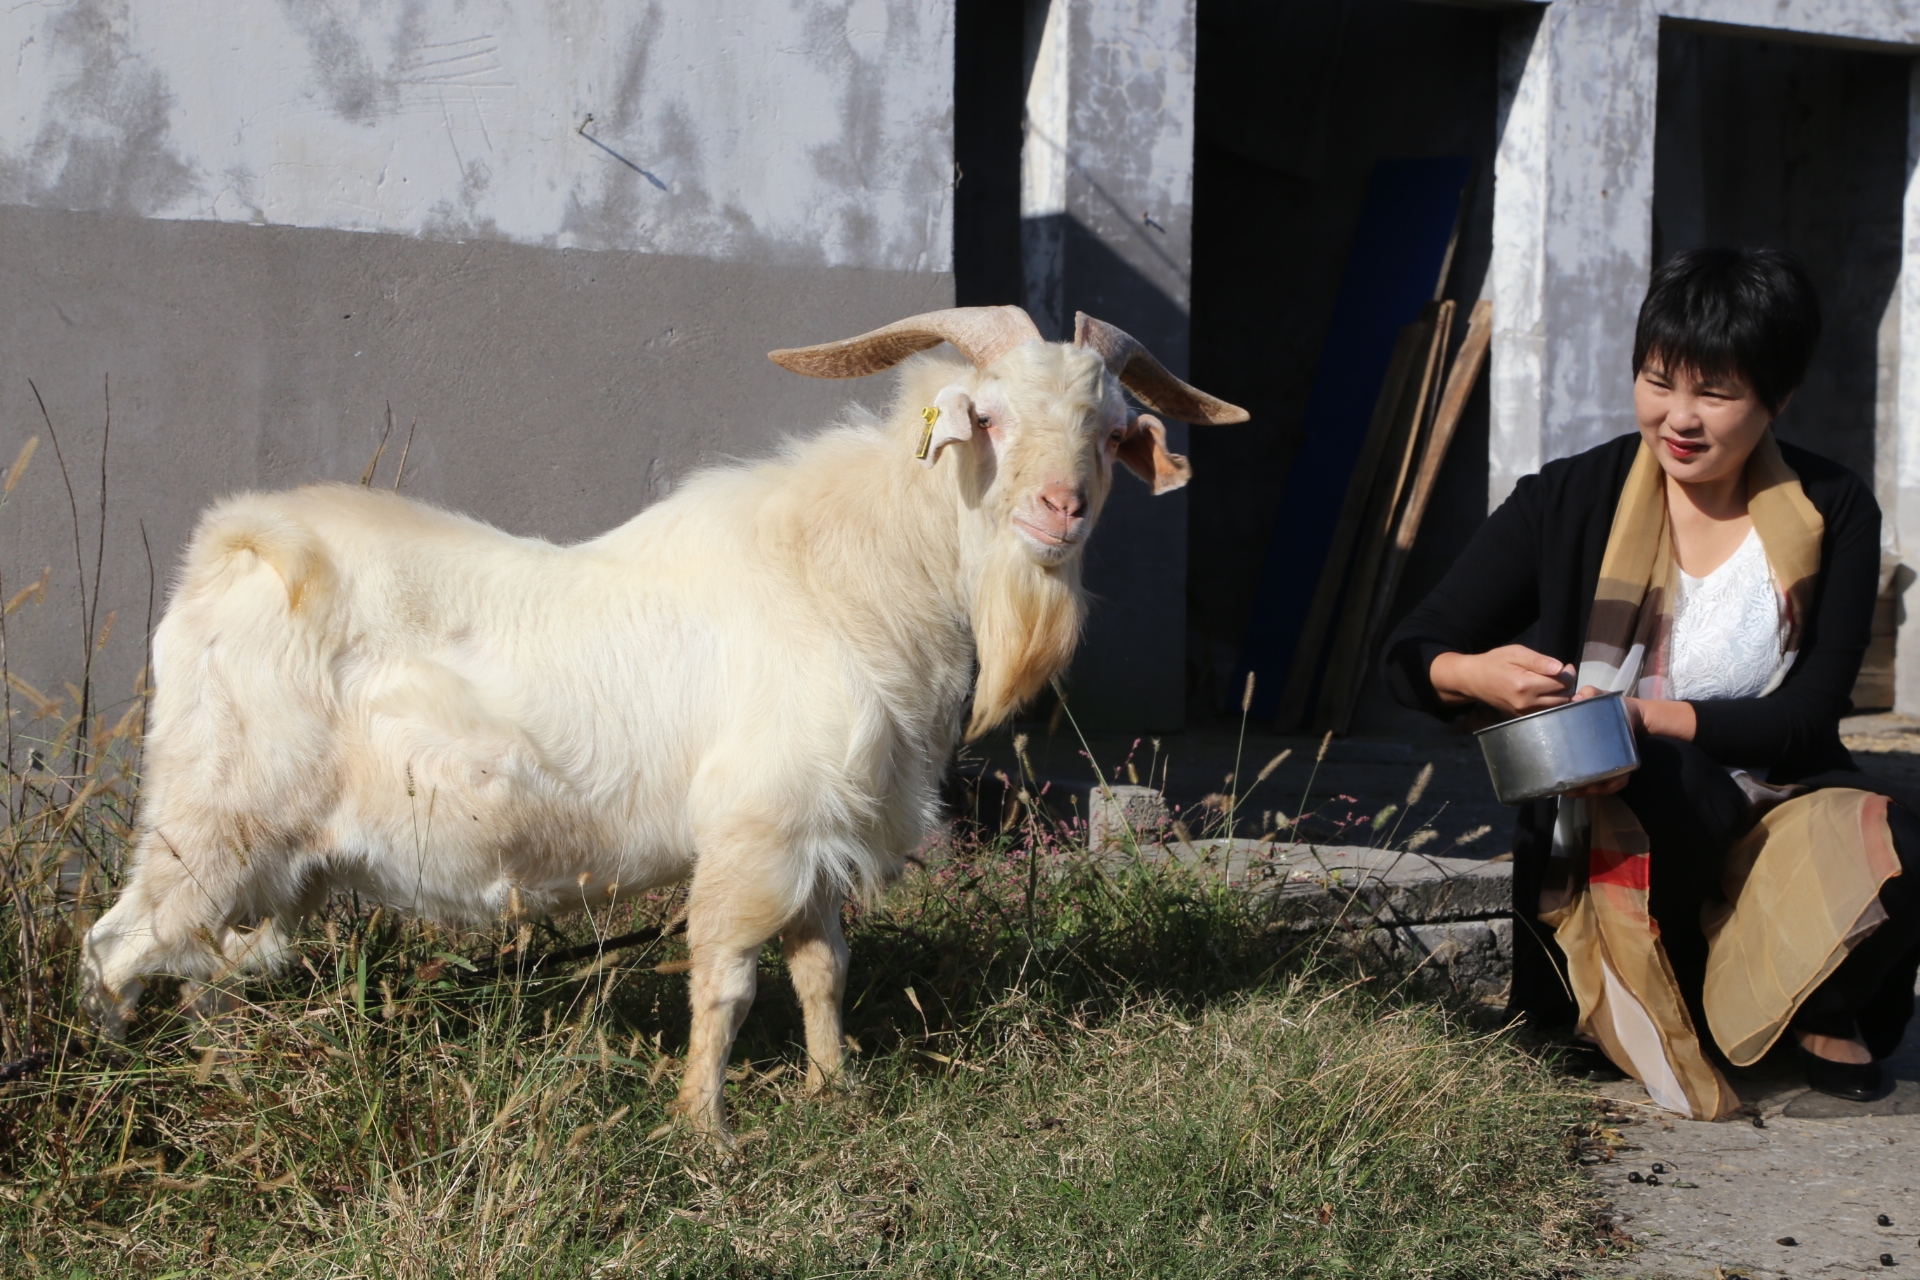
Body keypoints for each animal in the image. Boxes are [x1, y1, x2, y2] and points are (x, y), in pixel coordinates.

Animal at [82, 305, 1244, 1136]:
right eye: (990, 418)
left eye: (1108, 432)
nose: (1060, 512)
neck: (847, 575)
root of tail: (235, 550)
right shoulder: (750, 832)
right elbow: (725, 982)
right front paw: (706, 1128)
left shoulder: (815, 833)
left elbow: (822, 970)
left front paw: (835, 1092)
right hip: (208, 825)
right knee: (116, 950)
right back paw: (112, 1092)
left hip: (267, 860)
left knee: (202, 970)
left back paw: (222, 1078)